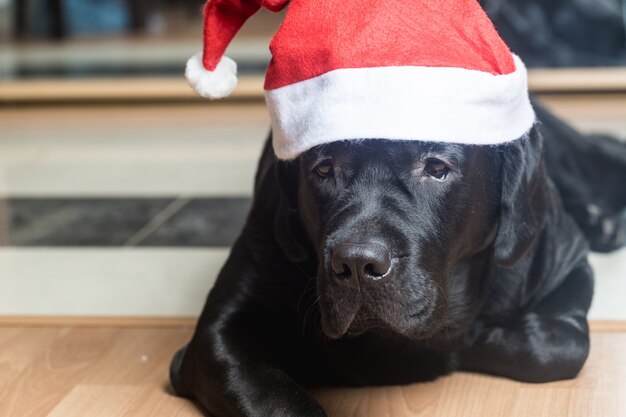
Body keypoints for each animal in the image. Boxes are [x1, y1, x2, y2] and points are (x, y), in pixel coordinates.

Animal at [168, 101, 620, 416]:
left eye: (436, 166)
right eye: (323, 168)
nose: (356, 265)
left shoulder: (566, 262)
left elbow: (563, 346)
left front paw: (471, 339)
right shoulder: (219, 333)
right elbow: (271, 396)